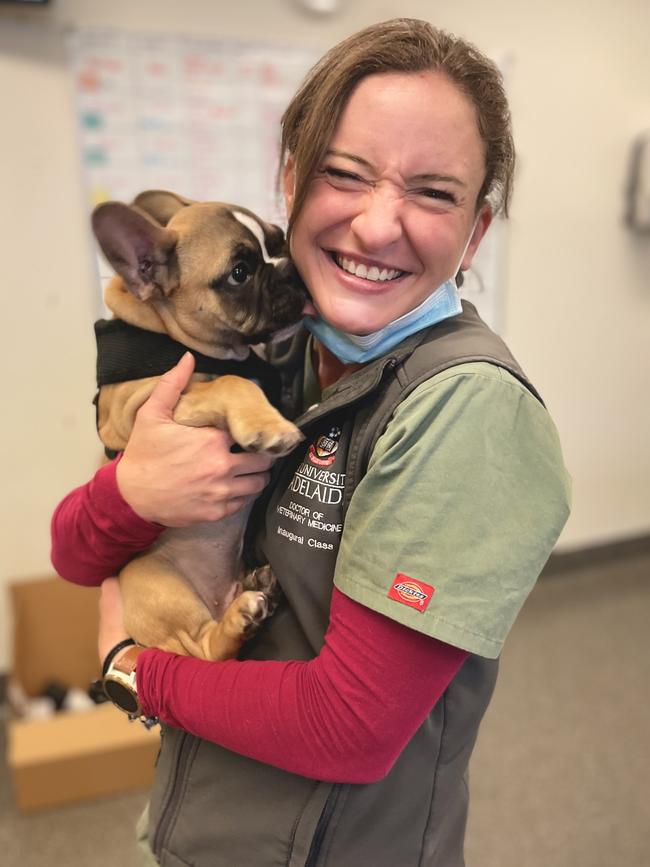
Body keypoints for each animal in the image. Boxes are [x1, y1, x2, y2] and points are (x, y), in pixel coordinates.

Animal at [91, 193, 306, 660]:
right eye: (239, 273)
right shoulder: (140, 409)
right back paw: (241, 617)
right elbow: (232, 382)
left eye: (279, 239)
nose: (292, 267)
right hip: (157, 581)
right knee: (207, 649)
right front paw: (269, 425)